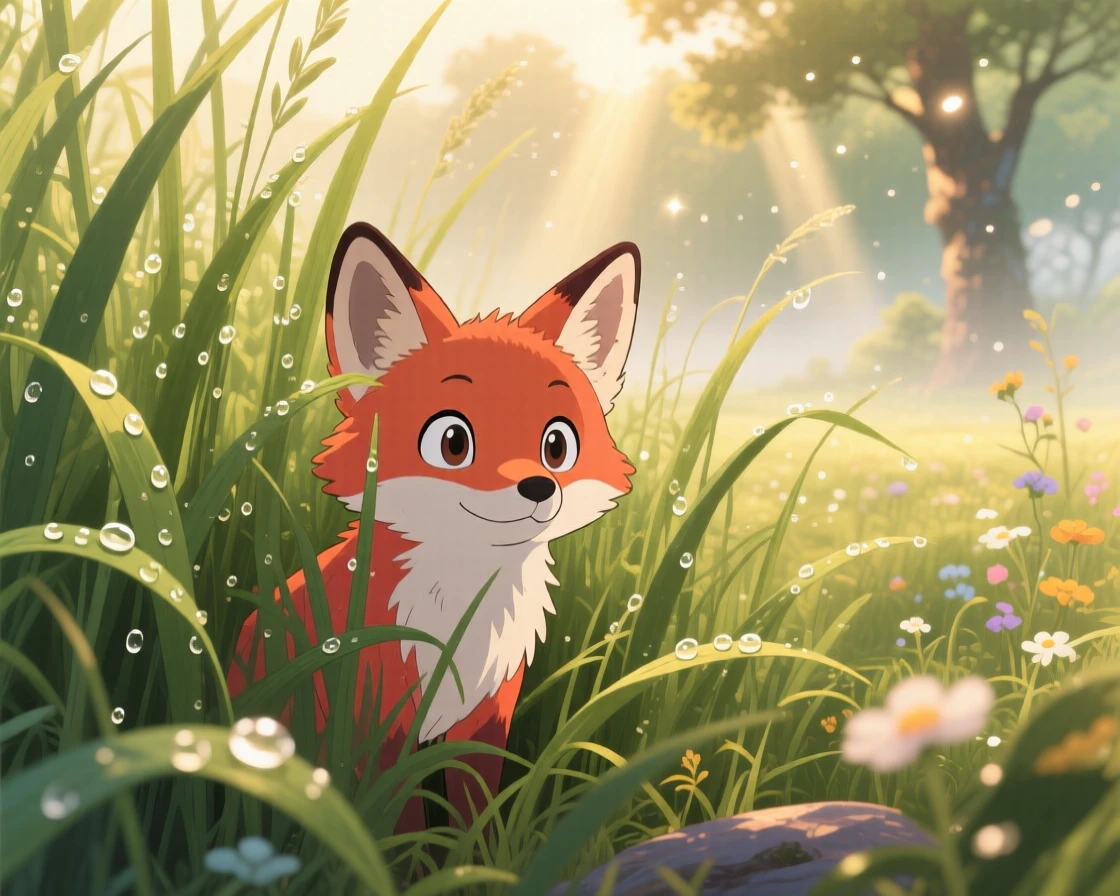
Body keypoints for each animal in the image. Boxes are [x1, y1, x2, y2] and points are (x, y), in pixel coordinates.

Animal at [227, 221, 640, 833]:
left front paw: (483, 854)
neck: (463, 613)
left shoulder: (486, 717)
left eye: (557, 444)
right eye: (452, 441)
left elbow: (477, 813)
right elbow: (403, 826)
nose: (539, 487)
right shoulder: (381, 726)